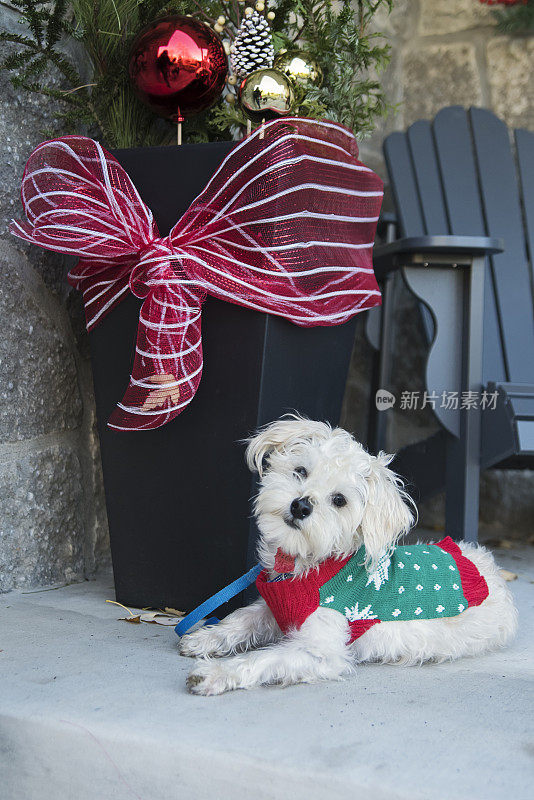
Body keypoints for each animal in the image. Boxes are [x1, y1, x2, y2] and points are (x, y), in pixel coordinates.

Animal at [181, 416, 520, 696]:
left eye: (339, 500)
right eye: (301, 471)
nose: (300, 505)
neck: (310, 564)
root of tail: (488, 565)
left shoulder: (320, 650)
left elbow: (264, 658)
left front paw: (216, 672)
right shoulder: (275, 609)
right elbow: (243, 618)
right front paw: (207, 638)